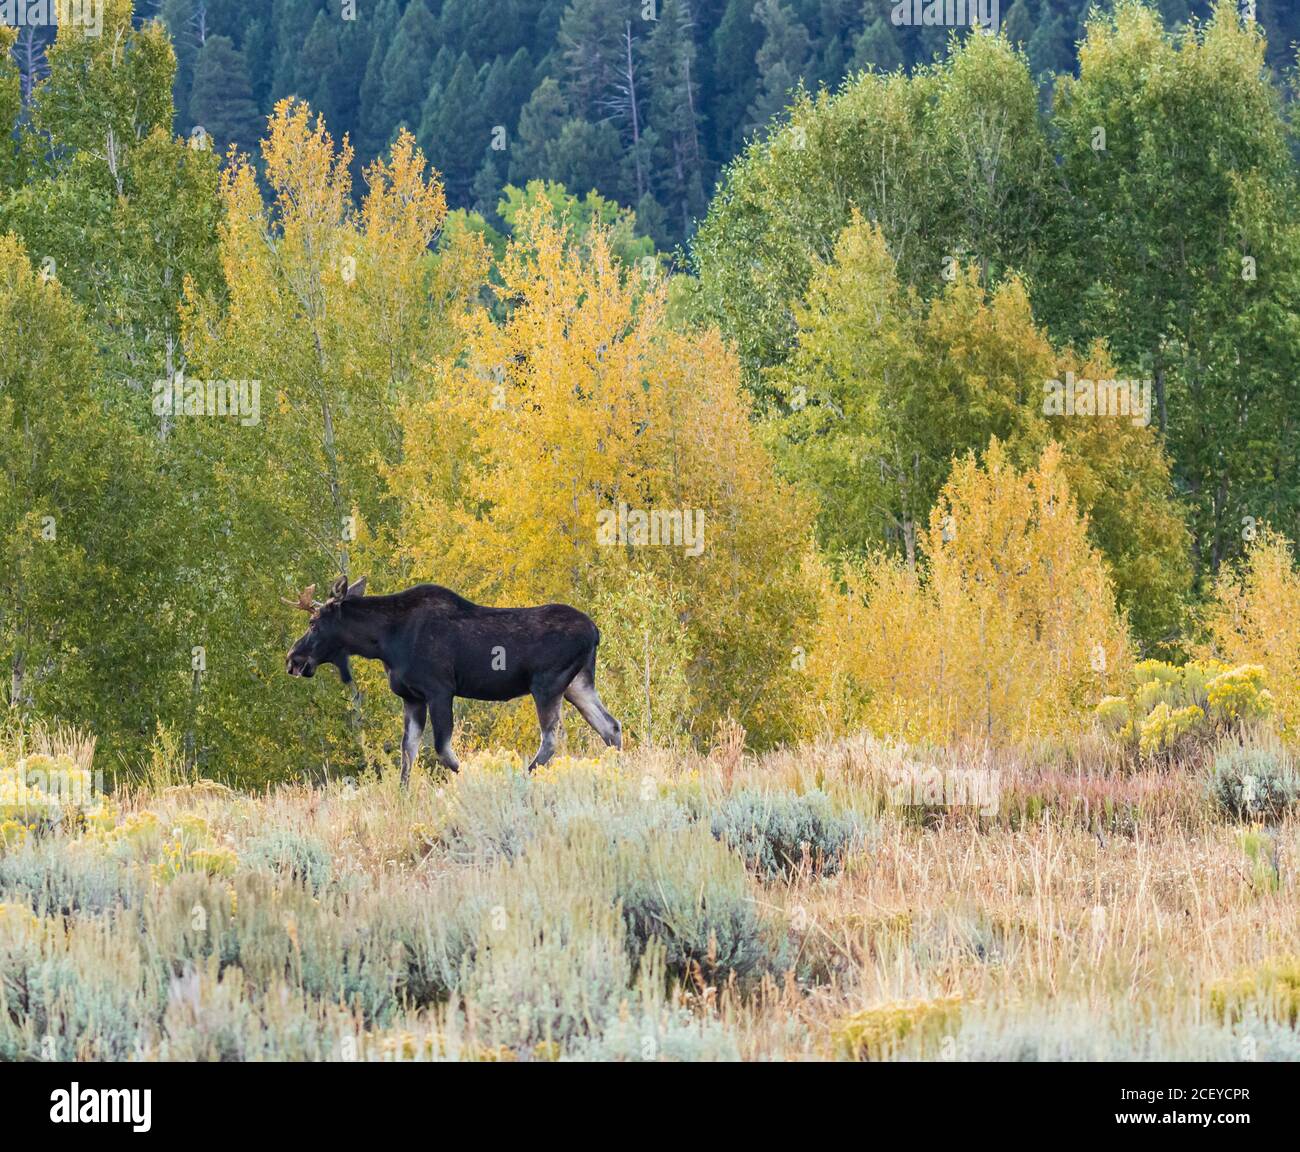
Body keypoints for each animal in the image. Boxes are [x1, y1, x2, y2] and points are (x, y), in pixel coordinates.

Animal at [283, 577, 624, 785]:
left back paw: (523, 776)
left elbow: (442, 749)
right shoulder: (412, 697)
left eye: (313, 623)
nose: (292, 659)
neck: (383, 642)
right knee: (611, 726)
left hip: (547, 684)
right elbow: (408, 752)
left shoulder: (439, 690)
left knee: (552, 737)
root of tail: (595, 631)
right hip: (578, 684)